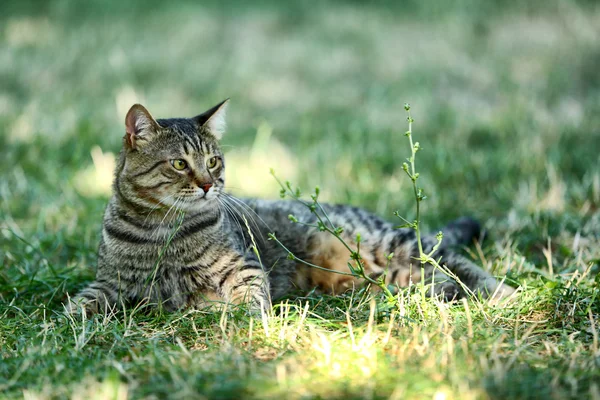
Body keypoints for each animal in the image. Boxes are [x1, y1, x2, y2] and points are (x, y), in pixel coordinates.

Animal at [67, 100, 516, 316]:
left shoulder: (243, 268)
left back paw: (506, 296)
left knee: (455, 260)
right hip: (392, 276)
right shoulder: (110, 284)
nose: (210, 185)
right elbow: (79, 302)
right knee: (439, 280)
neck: (160, 229)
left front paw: (250, 325)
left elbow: (251, 300)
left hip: (388, 243)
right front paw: (61, 320)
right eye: (179, 164)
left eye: (213, 161)